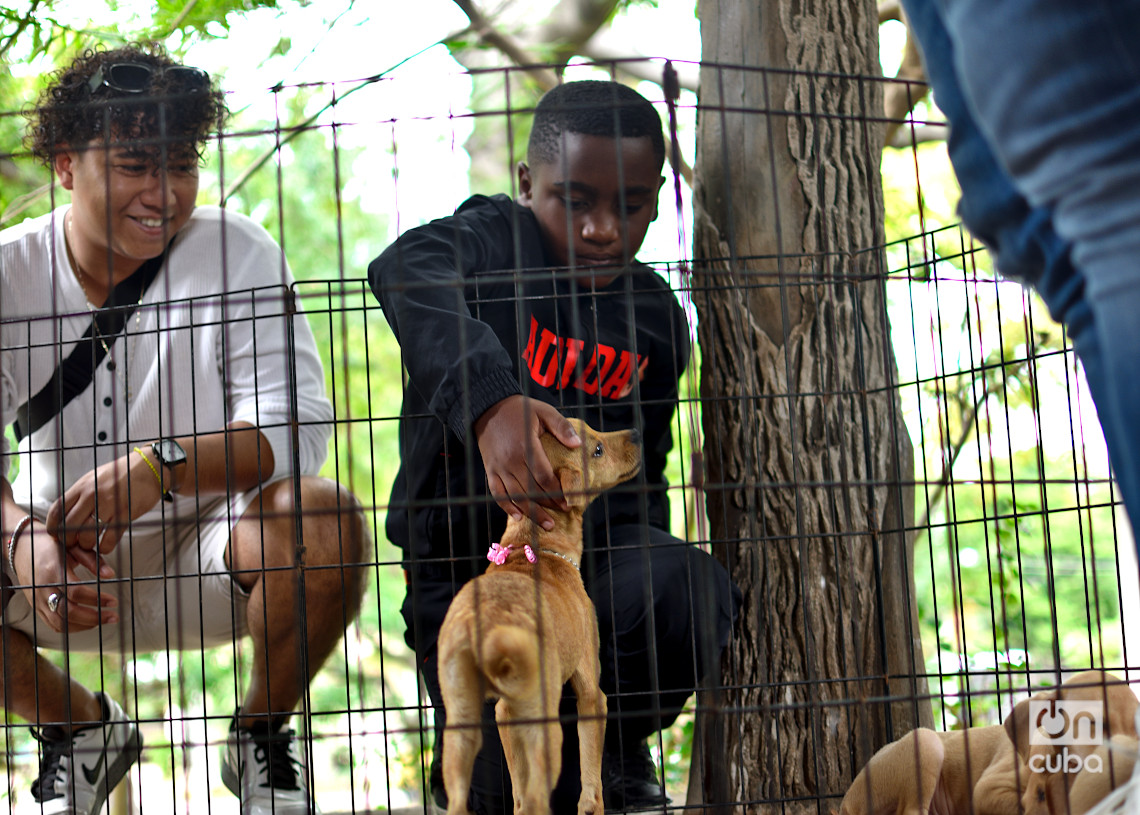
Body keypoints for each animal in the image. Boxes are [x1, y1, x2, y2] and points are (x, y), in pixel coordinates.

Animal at [435, 421, 642, 815]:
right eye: (596, 450)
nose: (637, 433)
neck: (535, 546)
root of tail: (485, 628)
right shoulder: (591, 692)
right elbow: (591, 785)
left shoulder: (503, 714)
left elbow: (518, 794)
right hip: (544, 722)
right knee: (537, 796)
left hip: (462, 725)